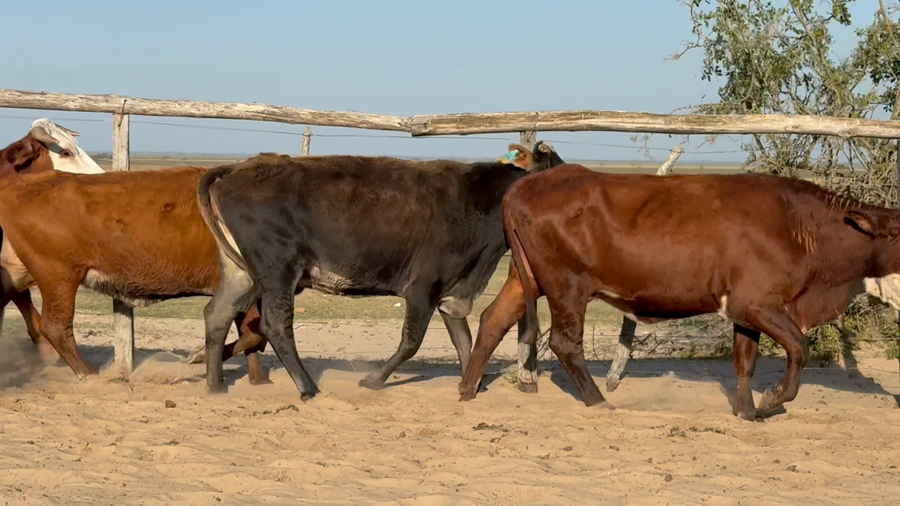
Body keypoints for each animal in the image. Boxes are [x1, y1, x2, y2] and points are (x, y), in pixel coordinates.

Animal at [0, 166, 272, 383]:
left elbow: (253, 335)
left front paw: (258, 380)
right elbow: (254, 334)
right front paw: (198, 357)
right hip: (59, 277)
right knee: (55, 327)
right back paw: (91, 374)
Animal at [197, 143, 565, 399]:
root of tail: (237, 169)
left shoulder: (451, 290)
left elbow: (464, 340)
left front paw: (470, 384)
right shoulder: (423, 287)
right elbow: (412, 341)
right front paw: (373, 380)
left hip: (242, 271)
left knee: (217, 314)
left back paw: (215, 386)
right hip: (278, 269)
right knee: (276, 325)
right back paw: (307, 387)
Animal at [457, 165, 900, 421]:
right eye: (897, 234)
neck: (798, 226)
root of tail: (527, 185)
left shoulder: (742, 309)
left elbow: (745, 362)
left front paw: (747, 412)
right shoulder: (759, 303)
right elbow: (799, 347)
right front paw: (774, 399)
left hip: (525, 277)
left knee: (493, 320)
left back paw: (467, 388)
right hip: (567, 284)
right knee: (565, 342)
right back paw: (598, 401)